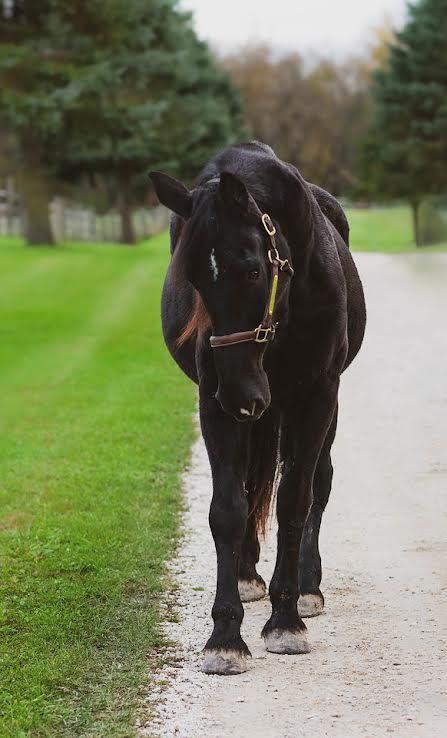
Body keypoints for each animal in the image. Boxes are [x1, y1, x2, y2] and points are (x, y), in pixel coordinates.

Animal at [150, 141, 366, 675]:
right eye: (192, 278)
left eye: (251, 269)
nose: (240, 392)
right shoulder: (214, 402)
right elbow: (228, 508)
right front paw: (225, 636)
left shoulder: (317, 394)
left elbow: (295, 500)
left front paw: (286, 621)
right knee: (249, 484)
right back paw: (248, 576)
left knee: (317, 482)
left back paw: (307, 587)